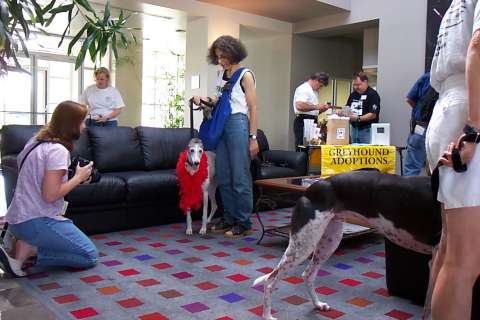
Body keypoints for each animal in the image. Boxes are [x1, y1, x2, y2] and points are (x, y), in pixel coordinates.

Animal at [253, 171, 440, 320]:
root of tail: (310, 189)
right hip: (303, 245)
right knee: (270, 280)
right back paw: (268, 316)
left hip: (329, 240)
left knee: (308, 274)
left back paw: (317, 304)